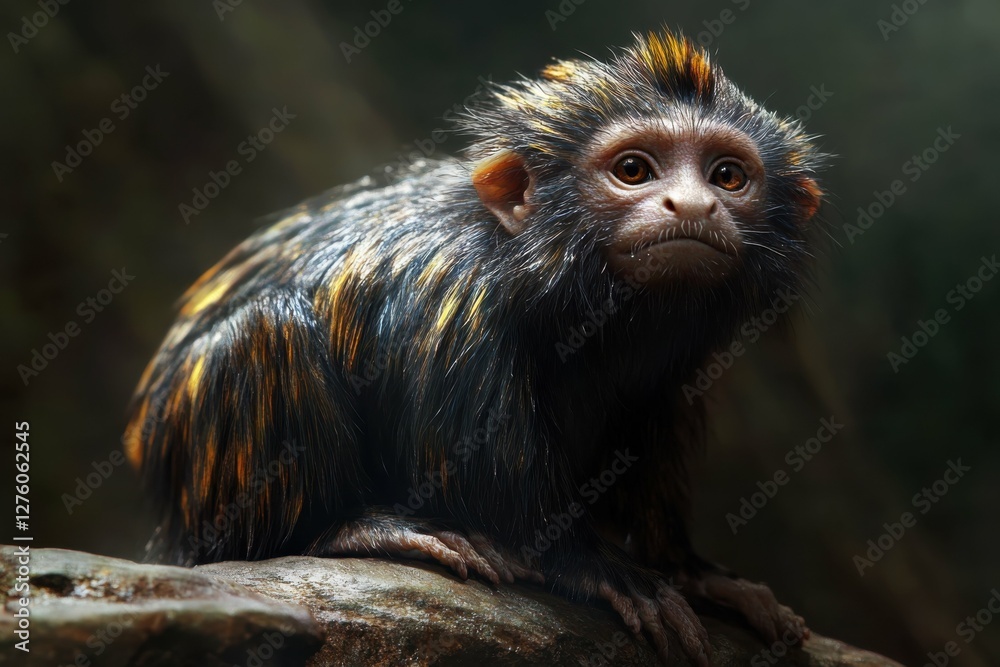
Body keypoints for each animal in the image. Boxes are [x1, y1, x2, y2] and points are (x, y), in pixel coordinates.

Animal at [124, 31, 824, 665]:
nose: (694, 204)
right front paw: (600, 567)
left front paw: (692, 572)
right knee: (272, 328)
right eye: (633, 170)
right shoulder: (456, 297)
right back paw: (347, 529)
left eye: (727, 176)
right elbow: (478, 479)